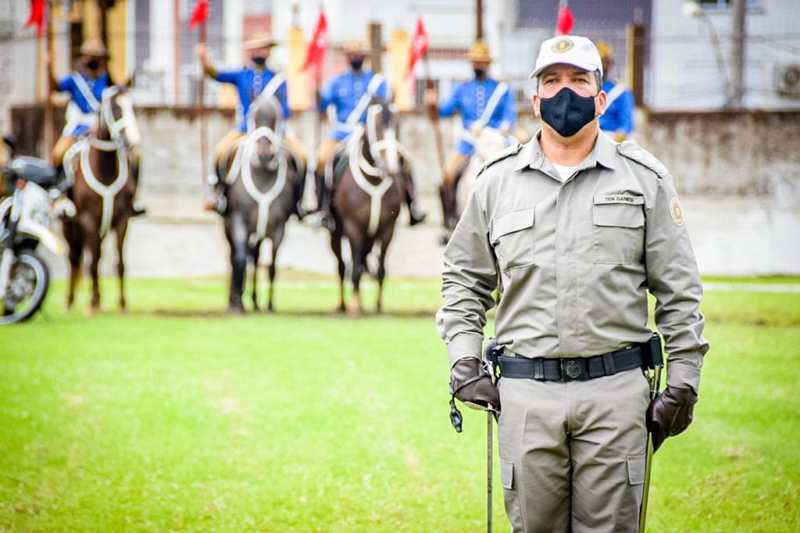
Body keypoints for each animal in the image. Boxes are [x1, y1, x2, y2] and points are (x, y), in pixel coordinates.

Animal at [61, 85, 141, 314]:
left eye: (134, 106)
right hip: (70, 225)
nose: (133, 141)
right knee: (74, 257)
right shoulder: (88, 219)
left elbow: (120, 262)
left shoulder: (122, 219)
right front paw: (94, 302)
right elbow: (93, 261)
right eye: (114, 107)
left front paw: (122, 304)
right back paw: (70, 301)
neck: (106, 169)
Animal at [219, 94, 300, 312]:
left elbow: (271, 266)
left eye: (276, 118)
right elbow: (239, 259)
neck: (263, 176)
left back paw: (254, 300)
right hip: (229, 226)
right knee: (234, 256)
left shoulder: (278, 228)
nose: (264, 154)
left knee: (254, 258)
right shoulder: (238, 222)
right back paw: (234, 298)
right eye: (253, 117)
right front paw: (237, 303)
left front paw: (269, 305)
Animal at [326, 98, 404, 316]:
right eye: (377, 126)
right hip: (336, 234)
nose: (391, 165)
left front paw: (378, 306)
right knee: (342, 266)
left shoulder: (387, 230)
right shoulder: (354, 228)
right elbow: (354, 268)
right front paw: (354, 306)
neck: (375, 179)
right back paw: (344, 305)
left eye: (397, 125)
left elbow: (381, 269)